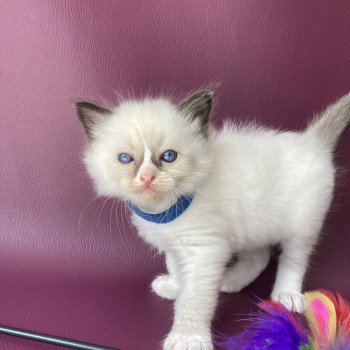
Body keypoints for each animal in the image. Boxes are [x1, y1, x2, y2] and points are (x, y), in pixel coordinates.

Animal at [76, 91, 350, 350]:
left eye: (168, 156)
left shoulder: (204, 250)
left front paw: (188, 338)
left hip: (303, 226)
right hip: (253, 225)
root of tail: (312, 142)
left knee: (294, 259)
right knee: (260, 256)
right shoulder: (174, 245)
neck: (167, 212)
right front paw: (175, 286)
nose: (146, 177)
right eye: (125, 159)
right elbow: (175, 267)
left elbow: (194, 299)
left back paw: (286, 294)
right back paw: (229, 280)